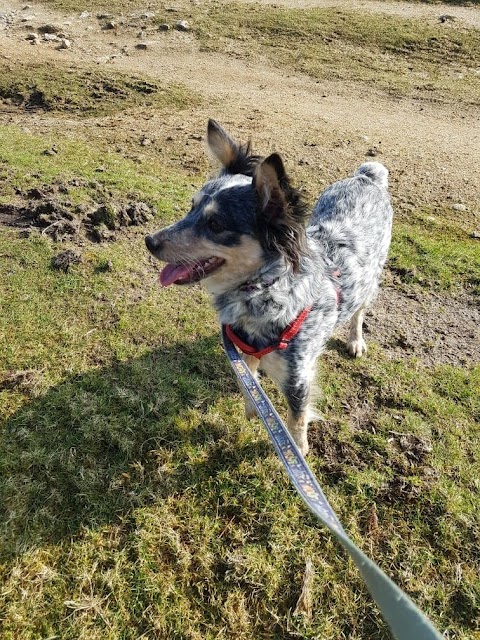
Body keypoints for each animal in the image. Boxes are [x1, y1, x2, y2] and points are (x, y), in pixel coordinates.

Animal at [146, 120, 394, 456]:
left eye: (215, 225)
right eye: (191, 207)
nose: (149, 241)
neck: (262, 291)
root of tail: (367, 176)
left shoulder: (297, 377)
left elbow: (296, 418)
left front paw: (297, 449)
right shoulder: (242, 350)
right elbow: (248, 381)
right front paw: (255, 410)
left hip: (371, 278)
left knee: (358, 313)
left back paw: (355, 340)